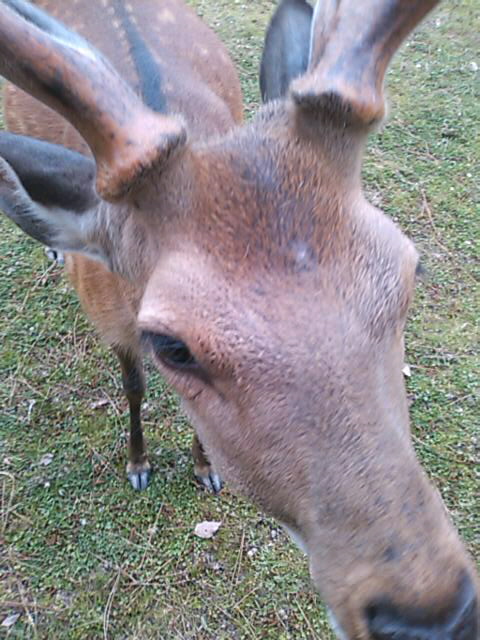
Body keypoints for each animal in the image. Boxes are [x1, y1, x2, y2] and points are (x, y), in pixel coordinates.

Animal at [0, 0, 478, 637]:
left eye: (410, 270)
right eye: (171, 346)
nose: (436, 615)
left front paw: (205, 468)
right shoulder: (112, 322)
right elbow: (133, 388)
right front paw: (139, 465)